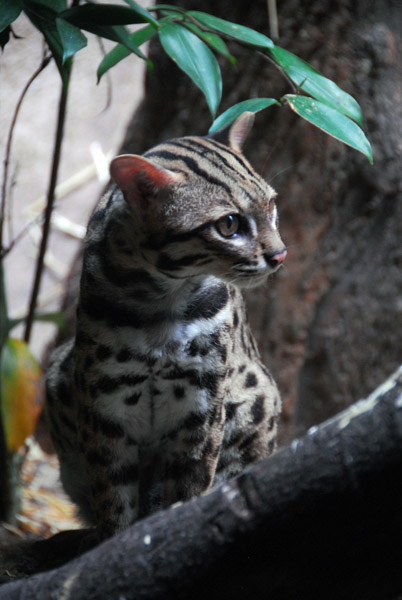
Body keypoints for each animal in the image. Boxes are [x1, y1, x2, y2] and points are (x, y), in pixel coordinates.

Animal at [46, 111, 286, 540]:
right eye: (229, 225)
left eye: (272, 205)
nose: (280, 255)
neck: (163, 300)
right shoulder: (104, 405)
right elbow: (114, 500)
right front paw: (115, 543)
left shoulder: (203, 403)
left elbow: (190, 487)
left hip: (260, 395)